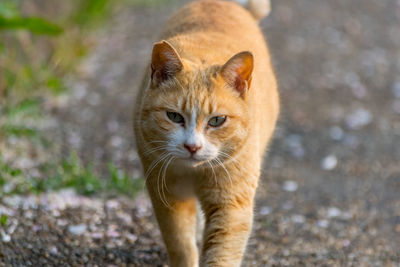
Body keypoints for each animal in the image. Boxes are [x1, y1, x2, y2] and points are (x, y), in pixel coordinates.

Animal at [134, 0, 278, 266]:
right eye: (174, 117)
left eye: (217, 120)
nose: (192, 147)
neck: (195, 173)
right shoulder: (167, 197)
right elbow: (179, 242)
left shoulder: (231, 205)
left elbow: (222, 252)